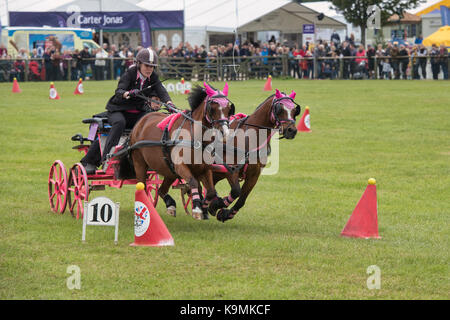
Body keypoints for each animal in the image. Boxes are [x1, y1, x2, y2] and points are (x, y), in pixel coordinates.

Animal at [129, 82, 234, 220]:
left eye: (229, 108)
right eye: (212, 108)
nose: (224, 132)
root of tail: (140, 122)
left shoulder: (204, 169)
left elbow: (210, 191)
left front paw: (204, 207)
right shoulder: (180, 166)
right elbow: (193, 183)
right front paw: (197, 209)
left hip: (168, 170)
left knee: (162, 190)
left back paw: (170, 205)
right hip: (140, 164)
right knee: (143, 187)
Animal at [209, 89, 300, 221]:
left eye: (294, 110)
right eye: (279, 109)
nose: (291, 130)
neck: (249, 138)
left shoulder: (254, 175)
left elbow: (242, 199)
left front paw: (225, 213)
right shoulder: (230, 169)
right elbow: (236, 191)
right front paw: (216, 205)